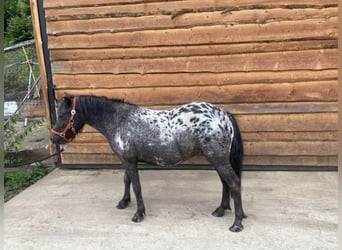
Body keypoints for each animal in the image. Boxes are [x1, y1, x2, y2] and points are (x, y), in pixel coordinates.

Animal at [50, 94, 246, 231]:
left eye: (63, 114)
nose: (53, 138)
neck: (119, 120)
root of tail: (223, 115)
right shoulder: (126, 160)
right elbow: (126, 181)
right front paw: (124, 202)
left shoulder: (129, 161)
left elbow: (136, 186)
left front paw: (138, 214)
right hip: (218, 159)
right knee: (225, 183)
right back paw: (221, 210)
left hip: (218, 158)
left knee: (234, 183)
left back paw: (237, 223)